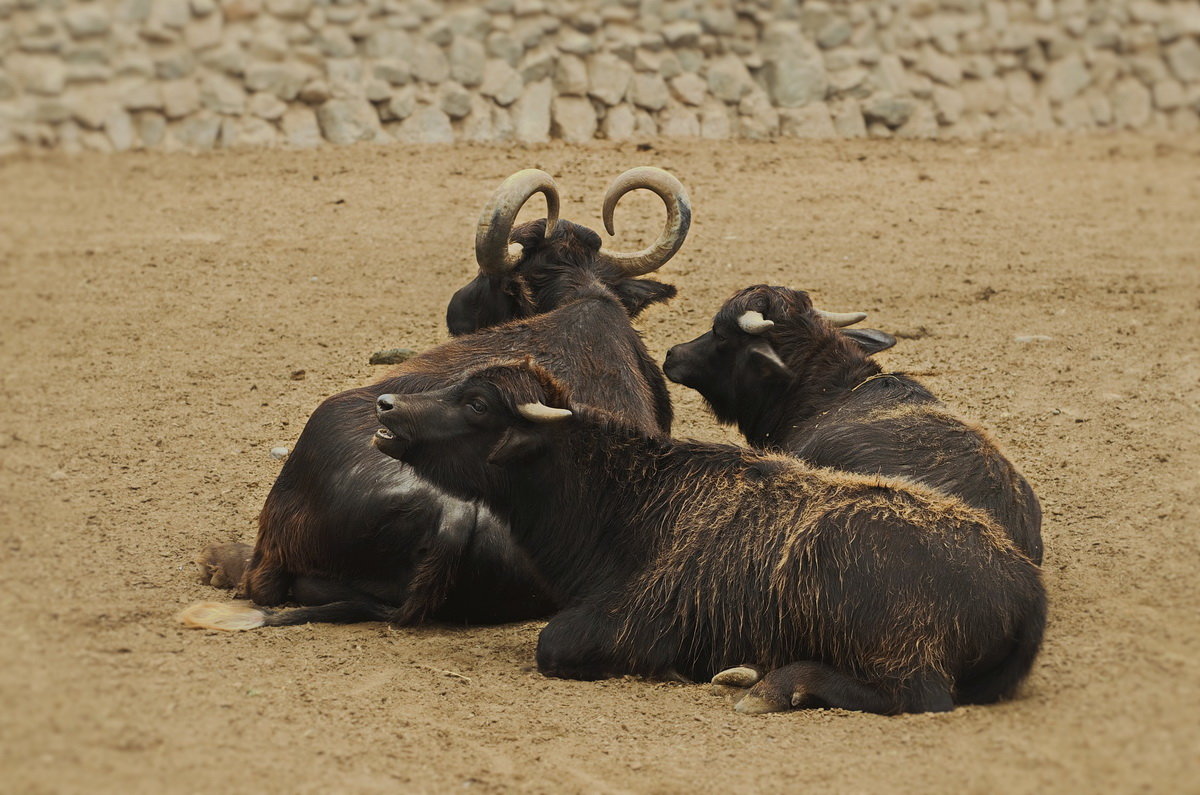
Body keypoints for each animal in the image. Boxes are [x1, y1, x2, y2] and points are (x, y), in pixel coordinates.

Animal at [369, 360, 1046, 715]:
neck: (631, 508)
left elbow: (553, 643)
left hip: (898, 648)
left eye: (478, 403)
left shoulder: (630, 622)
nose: (386, 406)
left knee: (920, 696)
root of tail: (1023, 581)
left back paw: (778, 685)